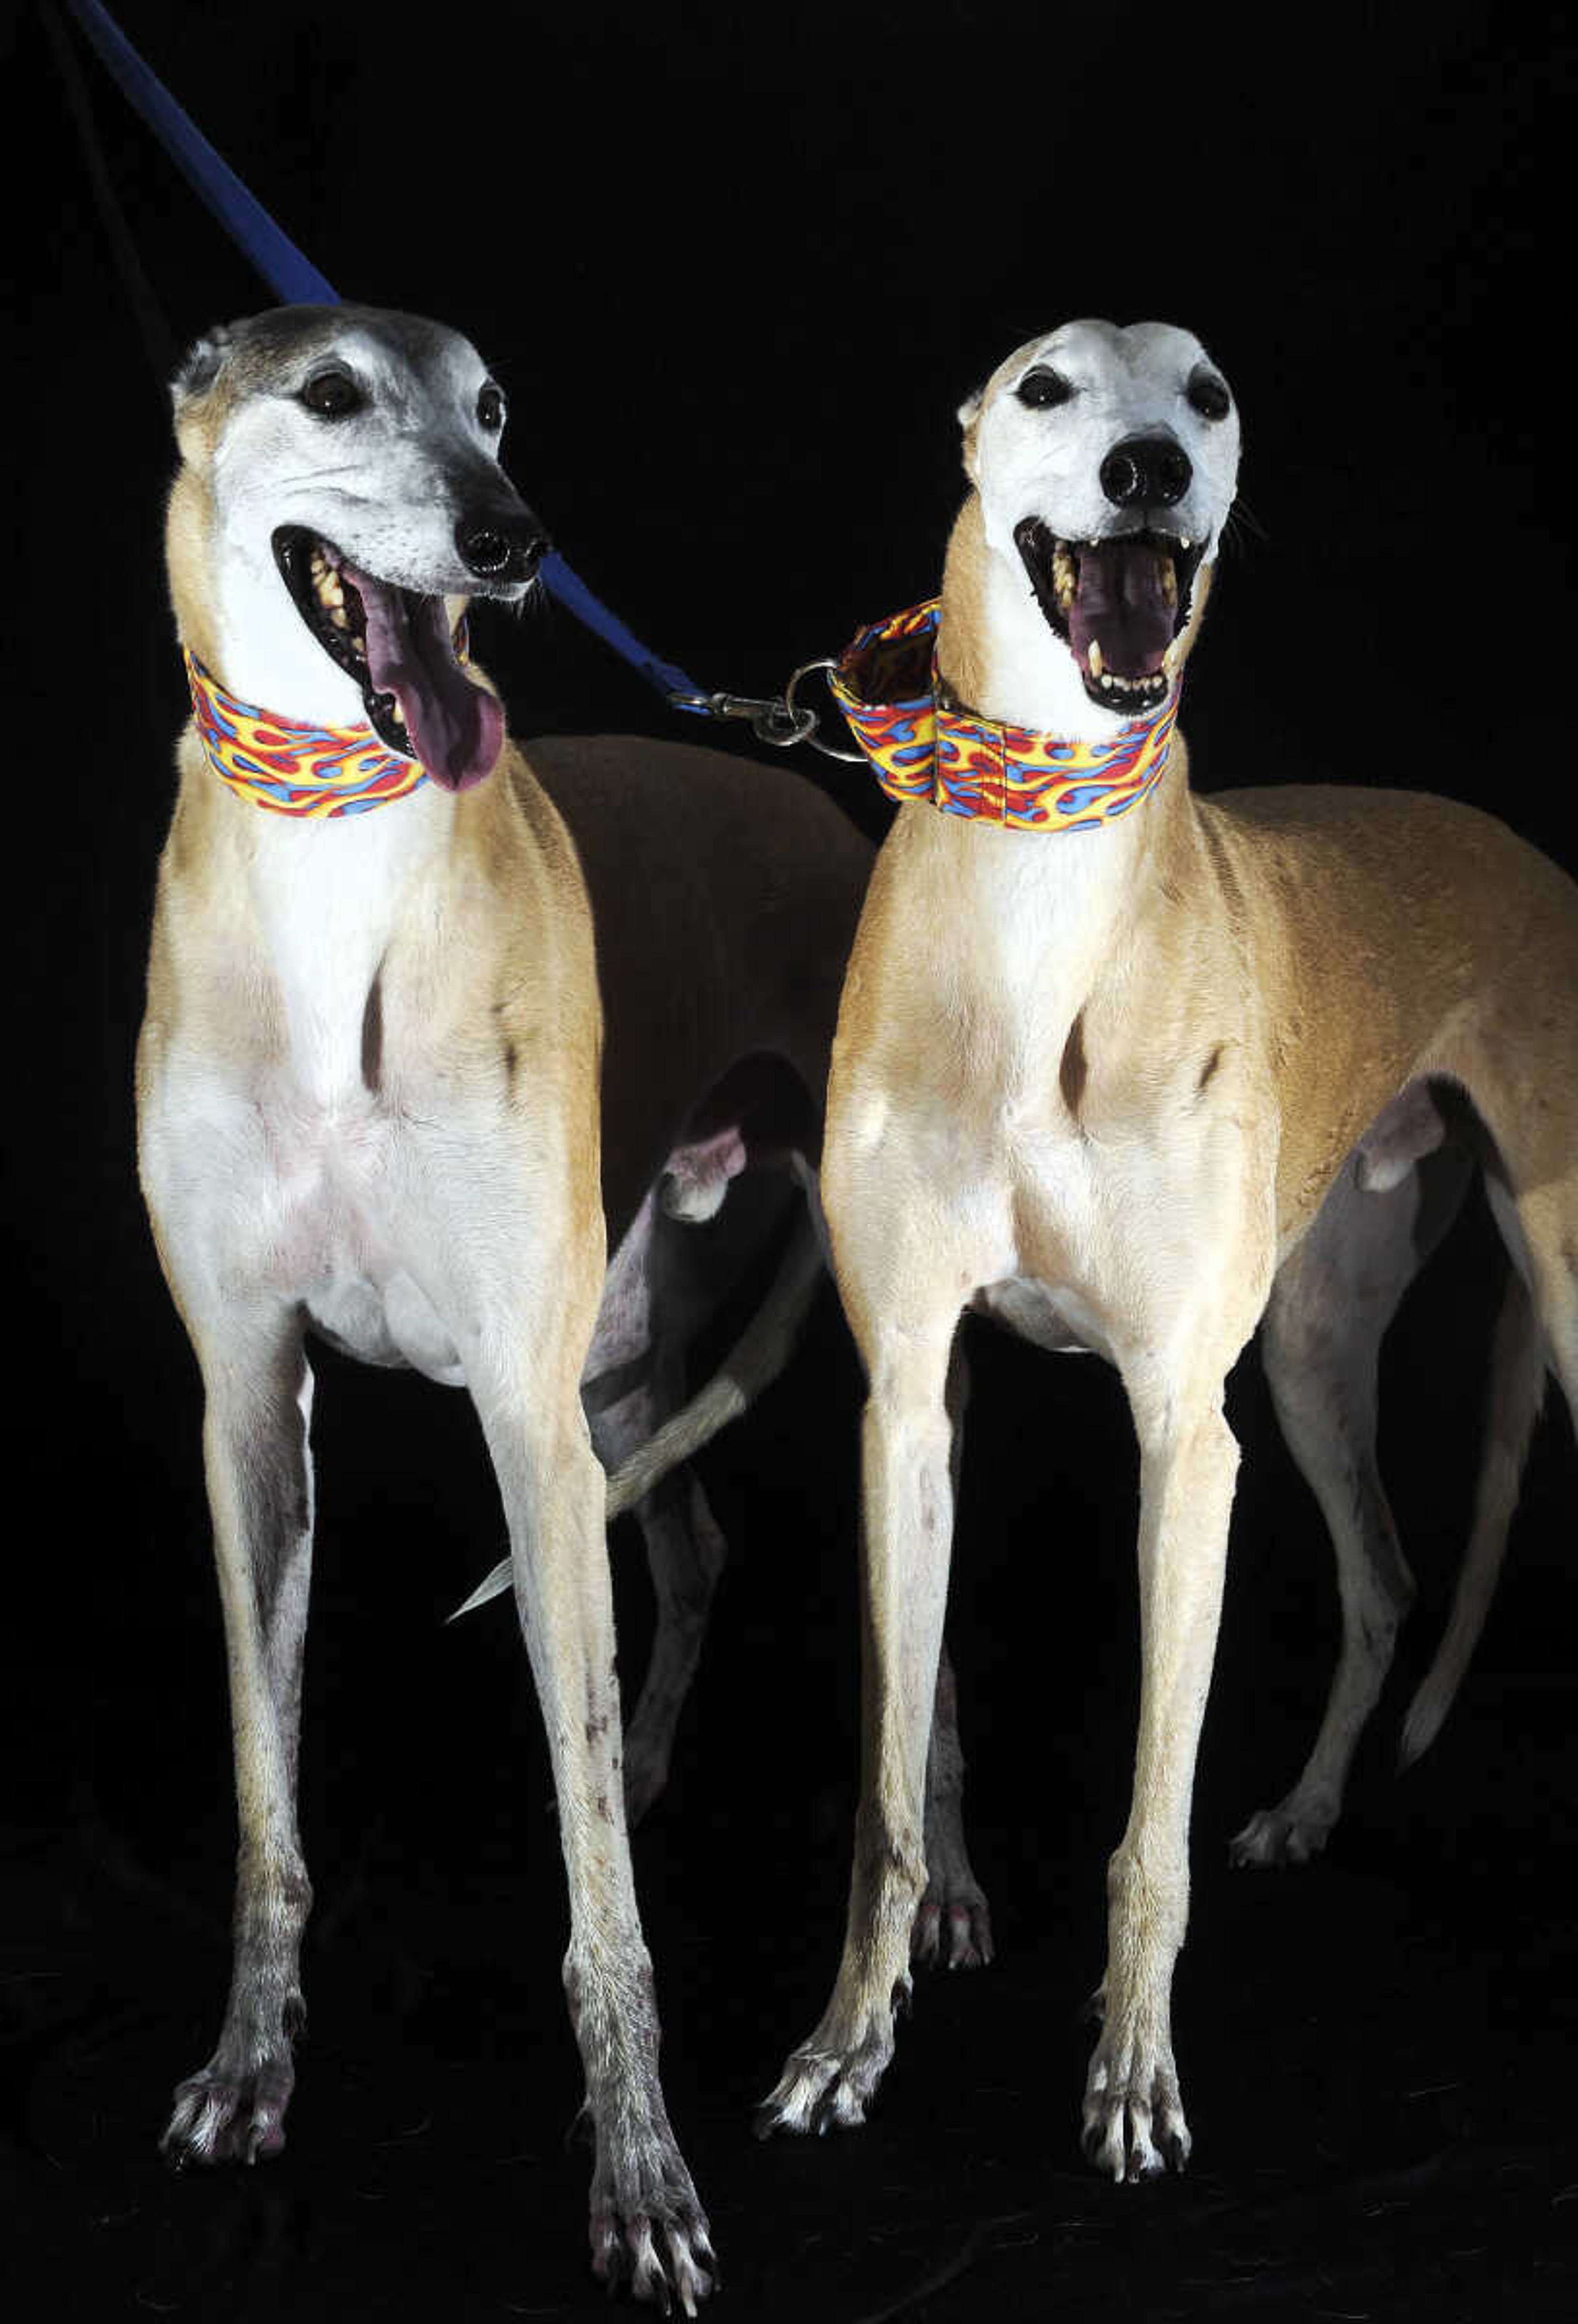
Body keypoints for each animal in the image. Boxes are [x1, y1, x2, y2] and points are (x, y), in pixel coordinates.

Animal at [137, 304, 883, 2305]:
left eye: (491, 407)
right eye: (329, 393)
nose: (511, 541)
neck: (334, 868)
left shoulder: (518, 1427)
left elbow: (598, 1896)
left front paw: (643, 2181)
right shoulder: (247, 1405)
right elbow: (261, 1796)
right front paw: (247, 2070)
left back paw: (926, 1908)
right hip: (617, 1359)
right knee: (690, 1548)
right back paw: (661, 1748)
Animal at [757, 323, 1571, 2175]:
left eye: (1206, 391)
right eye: (1046, 387)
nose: (1153, 470)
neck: (1042, 878)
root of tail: (1535, 859)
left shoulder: (1180, 1434)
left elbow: (1147, 1825)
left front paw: (1132, 2075)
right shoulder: (909, 1395)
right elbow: (898, 1773)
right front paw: (853, 2037)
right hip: (1318, 1341)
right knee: (1386, 1576)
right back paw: (1307, 1810)